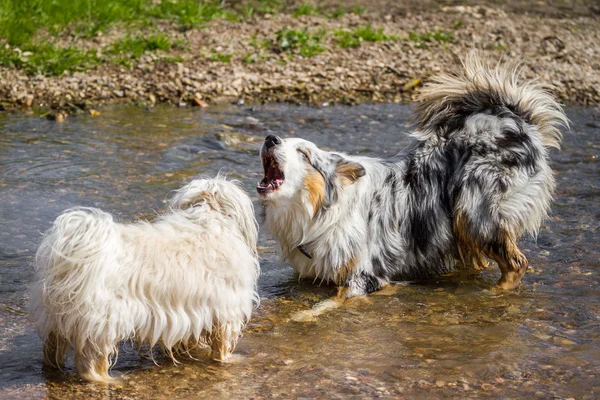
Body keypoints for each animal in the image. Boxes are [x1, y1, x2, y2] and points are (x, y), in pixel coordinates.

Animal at [28, 177, 258, 382]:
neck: (208, 219)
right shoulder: (227, 312)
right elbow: (222, 346)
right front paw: (229, 360)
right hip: (101, 324)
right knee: (90, 363)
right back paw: (107, 380)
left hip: (53, 318)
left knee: (51, 350)